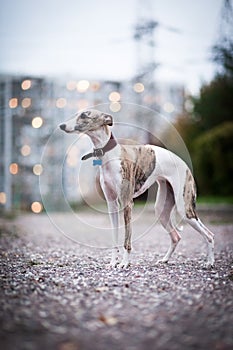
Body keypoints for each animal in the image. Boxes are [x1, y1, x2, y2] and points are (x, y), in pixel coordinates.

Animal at [59, 109, 215, 268]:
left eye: (84, 115)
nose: (61, 125)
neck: (110, 155)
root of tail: (185, 164)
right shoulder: (112, 205)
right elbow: (115, 237)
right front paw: (113, 262)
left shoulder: (127, 203)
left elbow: (127, 238)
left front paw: (124, 263)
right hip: (162, 209)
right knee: (176, 236)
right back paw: (165, 259)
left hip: (184, 208)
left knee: (209, 235)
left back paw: (209, 262)